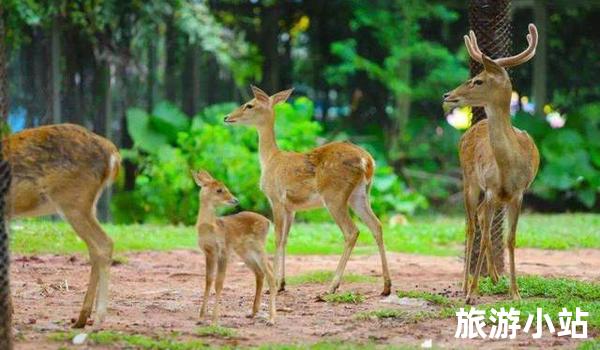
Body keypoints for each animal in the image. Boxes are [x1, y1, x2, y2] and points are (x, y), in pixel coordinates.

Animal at [4, 122, 120, 326]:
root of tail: (112, 153)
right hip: (87, 204)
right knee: (95, 249)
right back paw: (82, 318)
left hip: (73, 200)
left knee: (104, 243)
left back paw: (98, 319)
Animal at [192, 170, 276, 326]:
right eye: (219, 190)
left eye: (225, 187)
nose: (235, 200)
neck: (211, 228)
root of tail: (268, 221)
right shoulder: (208, 253)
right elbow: (208, 280)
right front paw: (200, 318)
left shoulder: (223, 251)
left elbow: (219, 283)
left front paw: (214, 321)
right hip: (245, 252)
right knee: (259, 273)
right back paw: (253, 312)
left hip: (259, 246)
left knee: (270, 272)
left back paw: (271, 319)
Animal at [223, 86, 392, 296]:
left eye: (249, 105)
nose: (227, 117)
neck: (270, 159)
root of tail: (367, 161)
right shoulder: (291, 208)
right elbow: (285, 239)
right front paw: (282, 283)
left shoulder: (276, 199)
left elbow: (276, 238)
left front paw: (272, 286)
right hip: (360, 194)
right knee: (376, 225)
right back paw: (386, 286)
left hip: (334, 195)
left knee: (352, 231)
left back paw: (332, 286)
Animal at [442, 23, 540, 304]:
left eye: (478, 80)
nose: (448, 95)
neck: (509, 166)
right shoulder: (491, 190)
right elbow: (486, 236)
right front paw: (472, 292)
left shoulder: (518, 194)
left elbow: (510, 239)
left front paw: (515, 293)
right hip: (470, 182)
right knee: (472, 226)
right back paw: (465, 285)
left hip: (489, 197)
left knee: (479, 221)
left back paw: (495, 277)